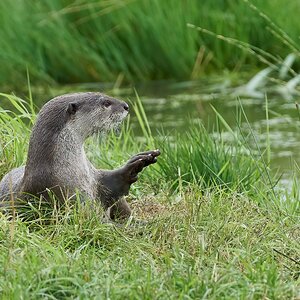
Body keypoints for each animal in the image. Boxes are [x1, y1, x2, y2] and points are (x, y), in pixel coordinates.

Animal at [0, 92, 159, 219]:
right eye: (106, 103)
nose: (126, 106)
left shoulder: (95, 178)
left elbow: (110, 185)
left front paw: (138, 162)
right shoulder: (63, 195)